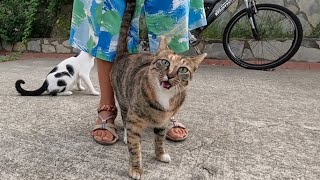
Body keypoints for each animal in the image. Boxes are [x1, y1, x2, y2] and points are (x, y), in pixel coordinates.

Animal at [112, 1, 208, 179]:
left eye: (183, 69)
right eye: (164, 62)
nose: (169, 76)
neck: (164, 96)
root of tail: (124, 54)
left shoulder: (163, 121)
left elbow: (160, 140)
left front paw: (160, 154)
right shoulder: (134, 121)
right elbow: (135, 149)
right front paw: (136, 169)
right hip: (123, 99)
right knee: (124, 116)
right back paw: (126, 135)